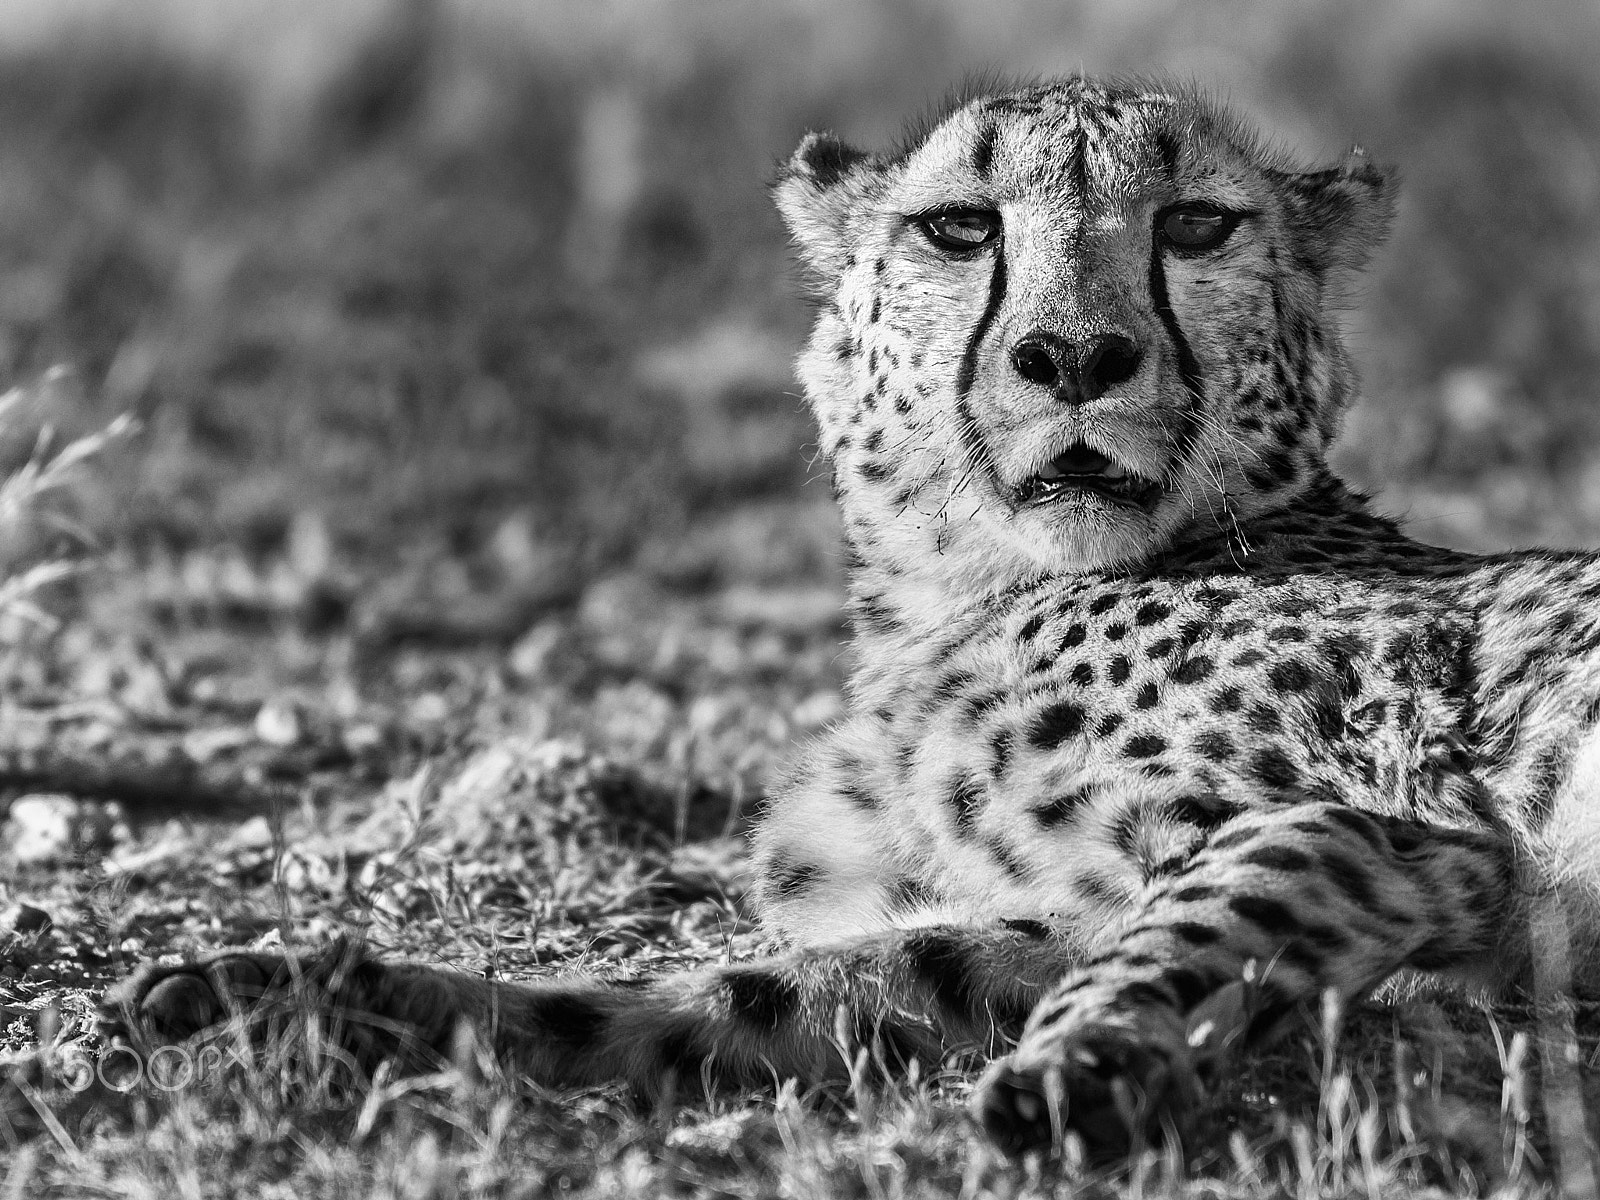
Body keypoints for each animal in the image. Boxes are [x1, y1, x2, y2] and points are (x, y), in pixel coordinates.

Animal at [102, 74, 1600, 1161]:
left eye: (1195, 226)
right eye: (961, 226)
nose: (1074, 356)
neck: (962, 591)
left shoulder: (1416, 843)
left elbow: (1208, 912)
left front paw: (1081, 1072)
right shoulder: (1043, 909)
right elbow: (778, 988)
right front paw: (311, 1000)